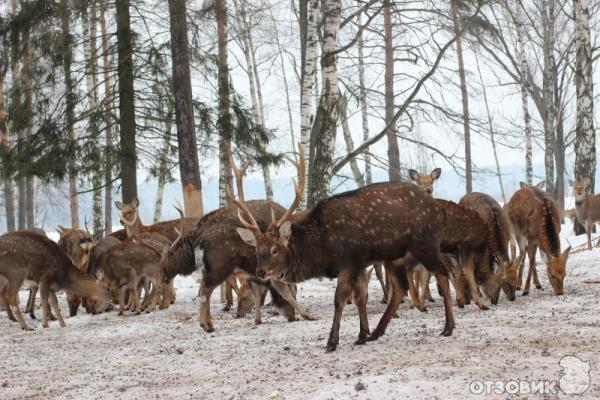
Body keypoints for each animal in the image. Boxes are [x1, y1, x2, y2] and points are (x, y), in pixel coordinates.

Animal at [234, 151, 454, 354]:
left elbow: (340, 299)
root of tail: (439, 210)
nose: (261, 272)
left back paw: (448, 327)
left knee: (442, 274)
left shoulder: (348, 261)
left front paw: (332, 342)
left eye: (275, 249)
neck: (322, 249)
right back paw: (377, 332)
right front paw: (362, 335)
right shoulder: (359, 263)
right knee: (401, 287)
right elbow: (360, 297)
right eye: (257, 250)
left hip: (425, 243)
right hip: (393, 257)